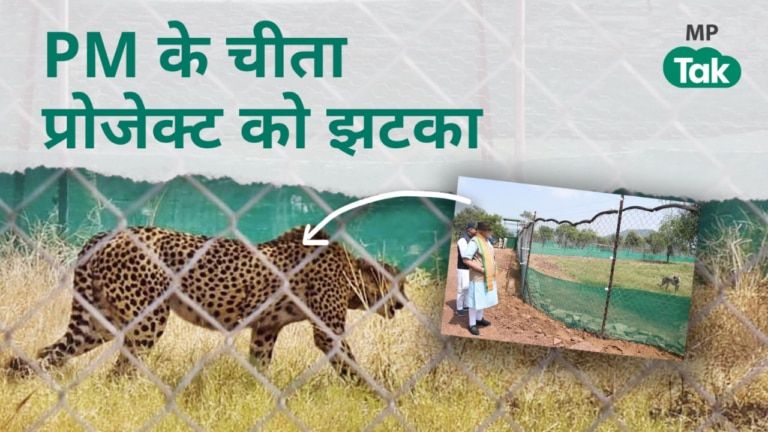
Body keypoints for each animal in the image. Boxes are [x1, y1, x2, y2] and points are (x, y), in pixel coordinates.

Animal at [7, 226, 406, 378]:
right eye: (397, 286)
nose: (402, 304)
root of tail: (107, 234)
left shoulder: (265, 328)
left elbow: (260, 366)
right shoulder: (328, 333)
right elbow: (353, 367)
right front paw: (380, 396)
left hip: (97, 322)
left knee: (48, 352)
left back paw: (20, 379)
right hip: (147, 320)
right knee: (120, 372)